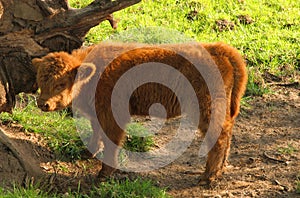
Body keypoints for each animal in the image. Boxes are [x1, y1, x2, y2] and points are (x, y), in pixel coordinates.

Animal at [33, 42, 248, 185]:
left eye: (61, 83)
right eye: (40, 80)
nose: (43, 103)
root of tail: (216, 48)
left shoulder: (113, 115)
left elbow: (111, 140)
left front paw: (104, 174)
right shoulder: (99, 113)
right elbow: (97, 132)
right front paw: (88, 152)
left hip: (207, 108)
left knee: (219, 135)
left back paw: (208, 176)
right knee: (227, 131)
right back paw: (219, 170)